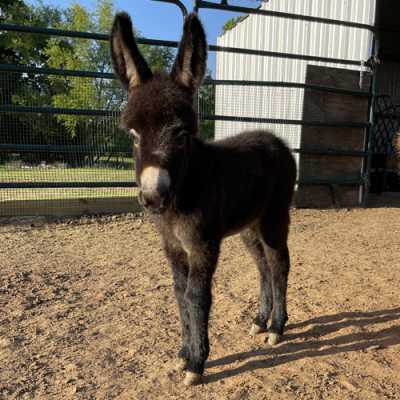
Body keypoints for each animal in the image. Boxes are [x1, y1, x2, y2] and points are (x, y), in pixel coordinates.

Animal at [109, 11, 296, 384]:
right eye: (133, 134)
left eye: (182, 135)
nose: (153, 197)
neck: (183, 191)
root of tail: (276, 139)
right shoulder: (172, 246)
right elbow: (179, 294)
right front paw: (183, 354)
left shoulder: (203, 244)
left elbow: (197, 296)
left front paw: (197, 363)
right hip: (249, 226)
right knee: (263, 266)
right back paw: (260, 320)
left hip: (274, 218)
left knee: (279, 263)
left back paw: (277, 328)